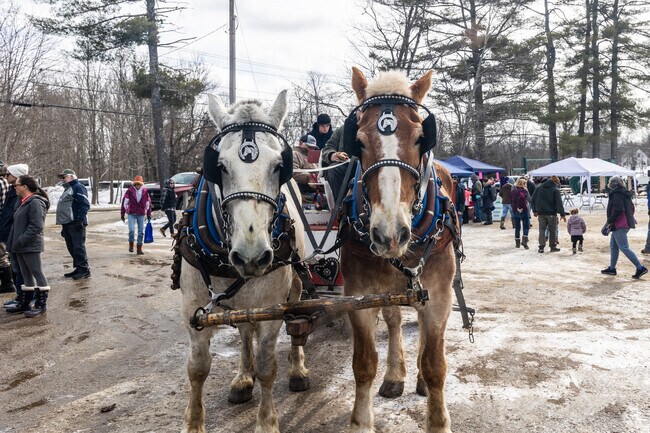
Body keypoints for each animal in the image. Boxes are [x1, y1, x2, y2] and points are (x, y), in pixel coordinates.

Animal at [177, 90, 310, 433]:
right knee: (244, 331)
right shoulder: (192, 306)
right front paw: (194, 422)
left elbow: (267, 366)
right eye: (220, 166)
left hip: (295, 287)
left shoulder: (272, 306)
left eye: (279, 166)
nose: (251, 255)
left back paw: (297, 370)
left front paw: (267, 422)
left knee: (296, 323)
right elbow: (197, 367)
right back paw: (242, 378)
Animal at [340, 67, 458, 433]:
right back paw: (395, 374)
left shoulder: (439, 294)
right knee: (393, 322)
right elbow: (363, 364)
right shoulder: (359, 295)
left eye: (421, 137)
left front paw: (438, 421)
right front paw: (361, 421)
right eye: (359, 141)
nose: (389, 233)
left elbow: (435, 364)